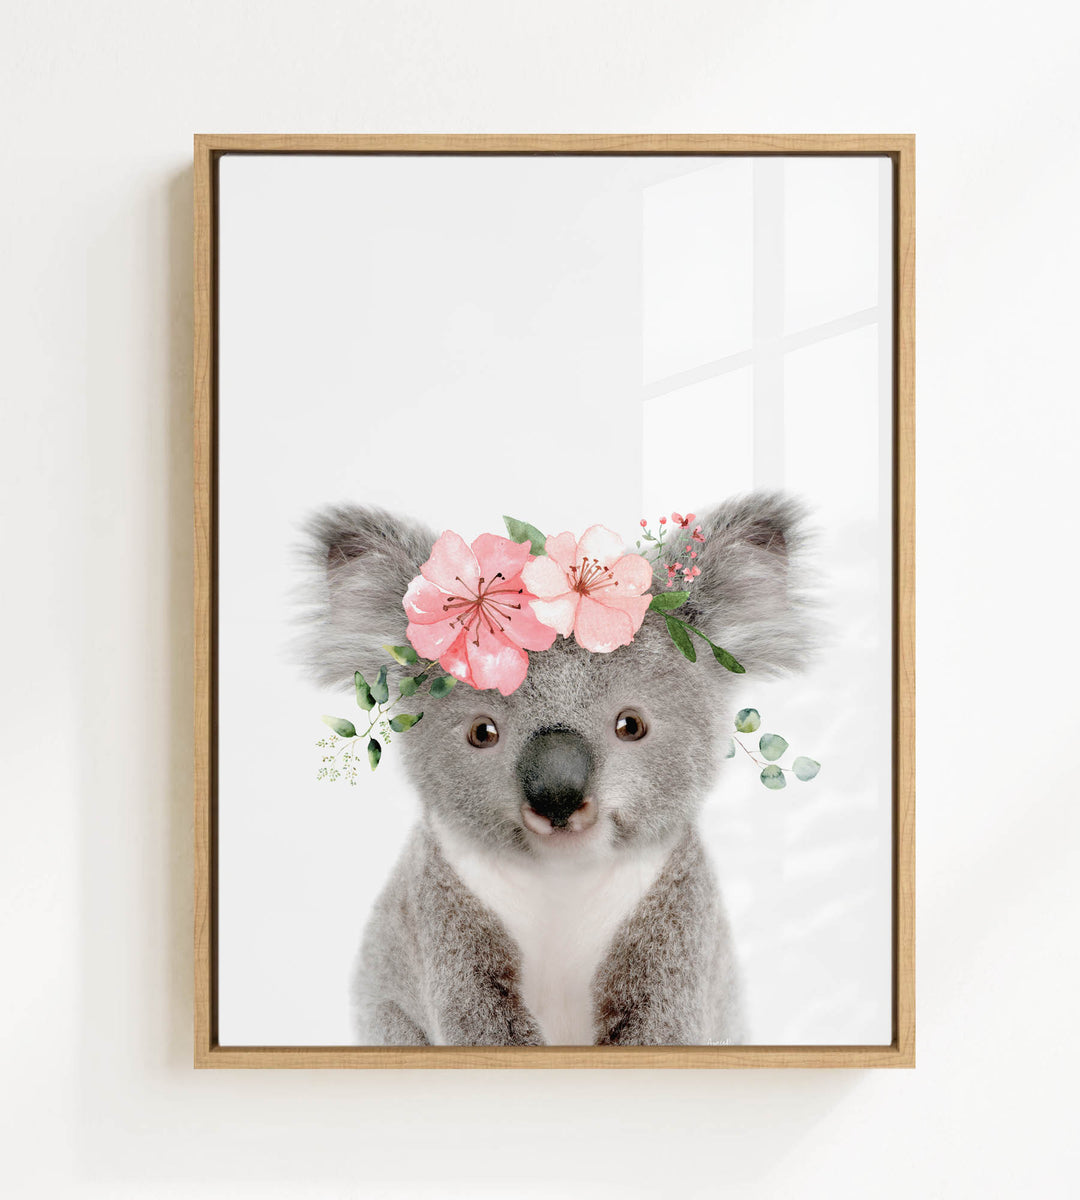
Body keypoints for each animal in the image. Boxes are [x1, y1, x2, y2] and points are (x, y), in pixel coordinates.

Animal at [302, 491, 813, 1046]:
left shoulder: (677, 918)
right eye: (482, 733)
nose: (557, 797)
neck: (562, 878)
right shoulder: (441, 914)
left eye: (631, 725)